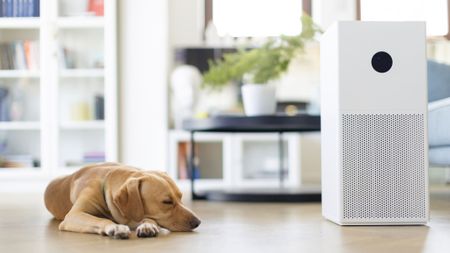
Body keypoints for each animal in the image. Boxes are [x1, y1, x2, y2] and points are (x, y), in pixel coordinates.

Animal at [43, 162, 200, 239]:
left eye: (180, 197)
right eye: (167, 202)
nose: (198, 222)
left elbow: (148, 219)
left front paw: (148, 225)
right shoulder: (73, 215)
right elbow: (101, 220)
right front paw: (115, 227)